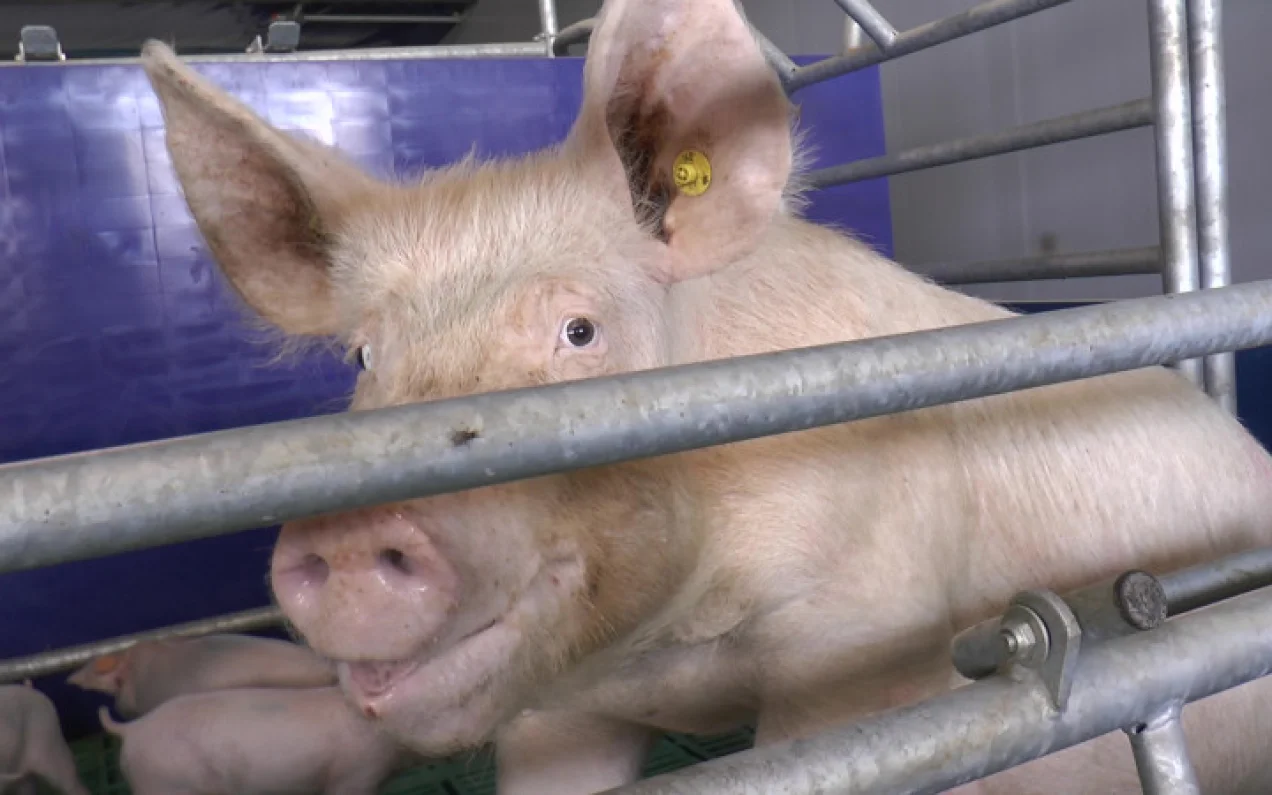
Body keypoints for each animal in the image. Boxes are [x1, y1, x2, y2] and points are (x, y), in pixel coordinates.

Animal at [135, 0, 1272, 790]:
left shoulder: (865, 631)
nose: (344, 536)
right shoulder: (560, 704)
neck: (674, 649)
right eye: (366, 356)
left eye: (579, 329)